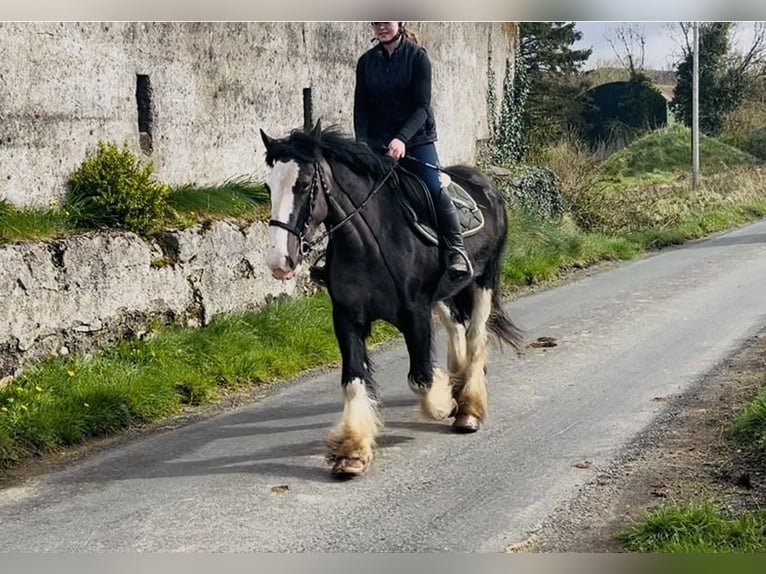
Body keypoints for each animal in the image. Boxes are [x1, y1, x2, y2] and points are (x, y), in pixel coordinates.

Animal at [259, 121, 523, 478]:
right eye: (268, 186)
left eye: (302, 185)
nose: (279, 262)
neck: (369, 242)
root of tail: (484, 183)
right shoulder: (347, 318)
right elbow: (354, 380)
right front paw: (352, 451)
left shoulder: (415, 314)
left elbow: (422, 379)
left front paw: (445, 404)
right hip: (445, 294)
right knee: (456, 327)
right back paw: (457, 380)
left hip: (484, 280)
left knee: (476, 335)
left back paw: (468, 408)